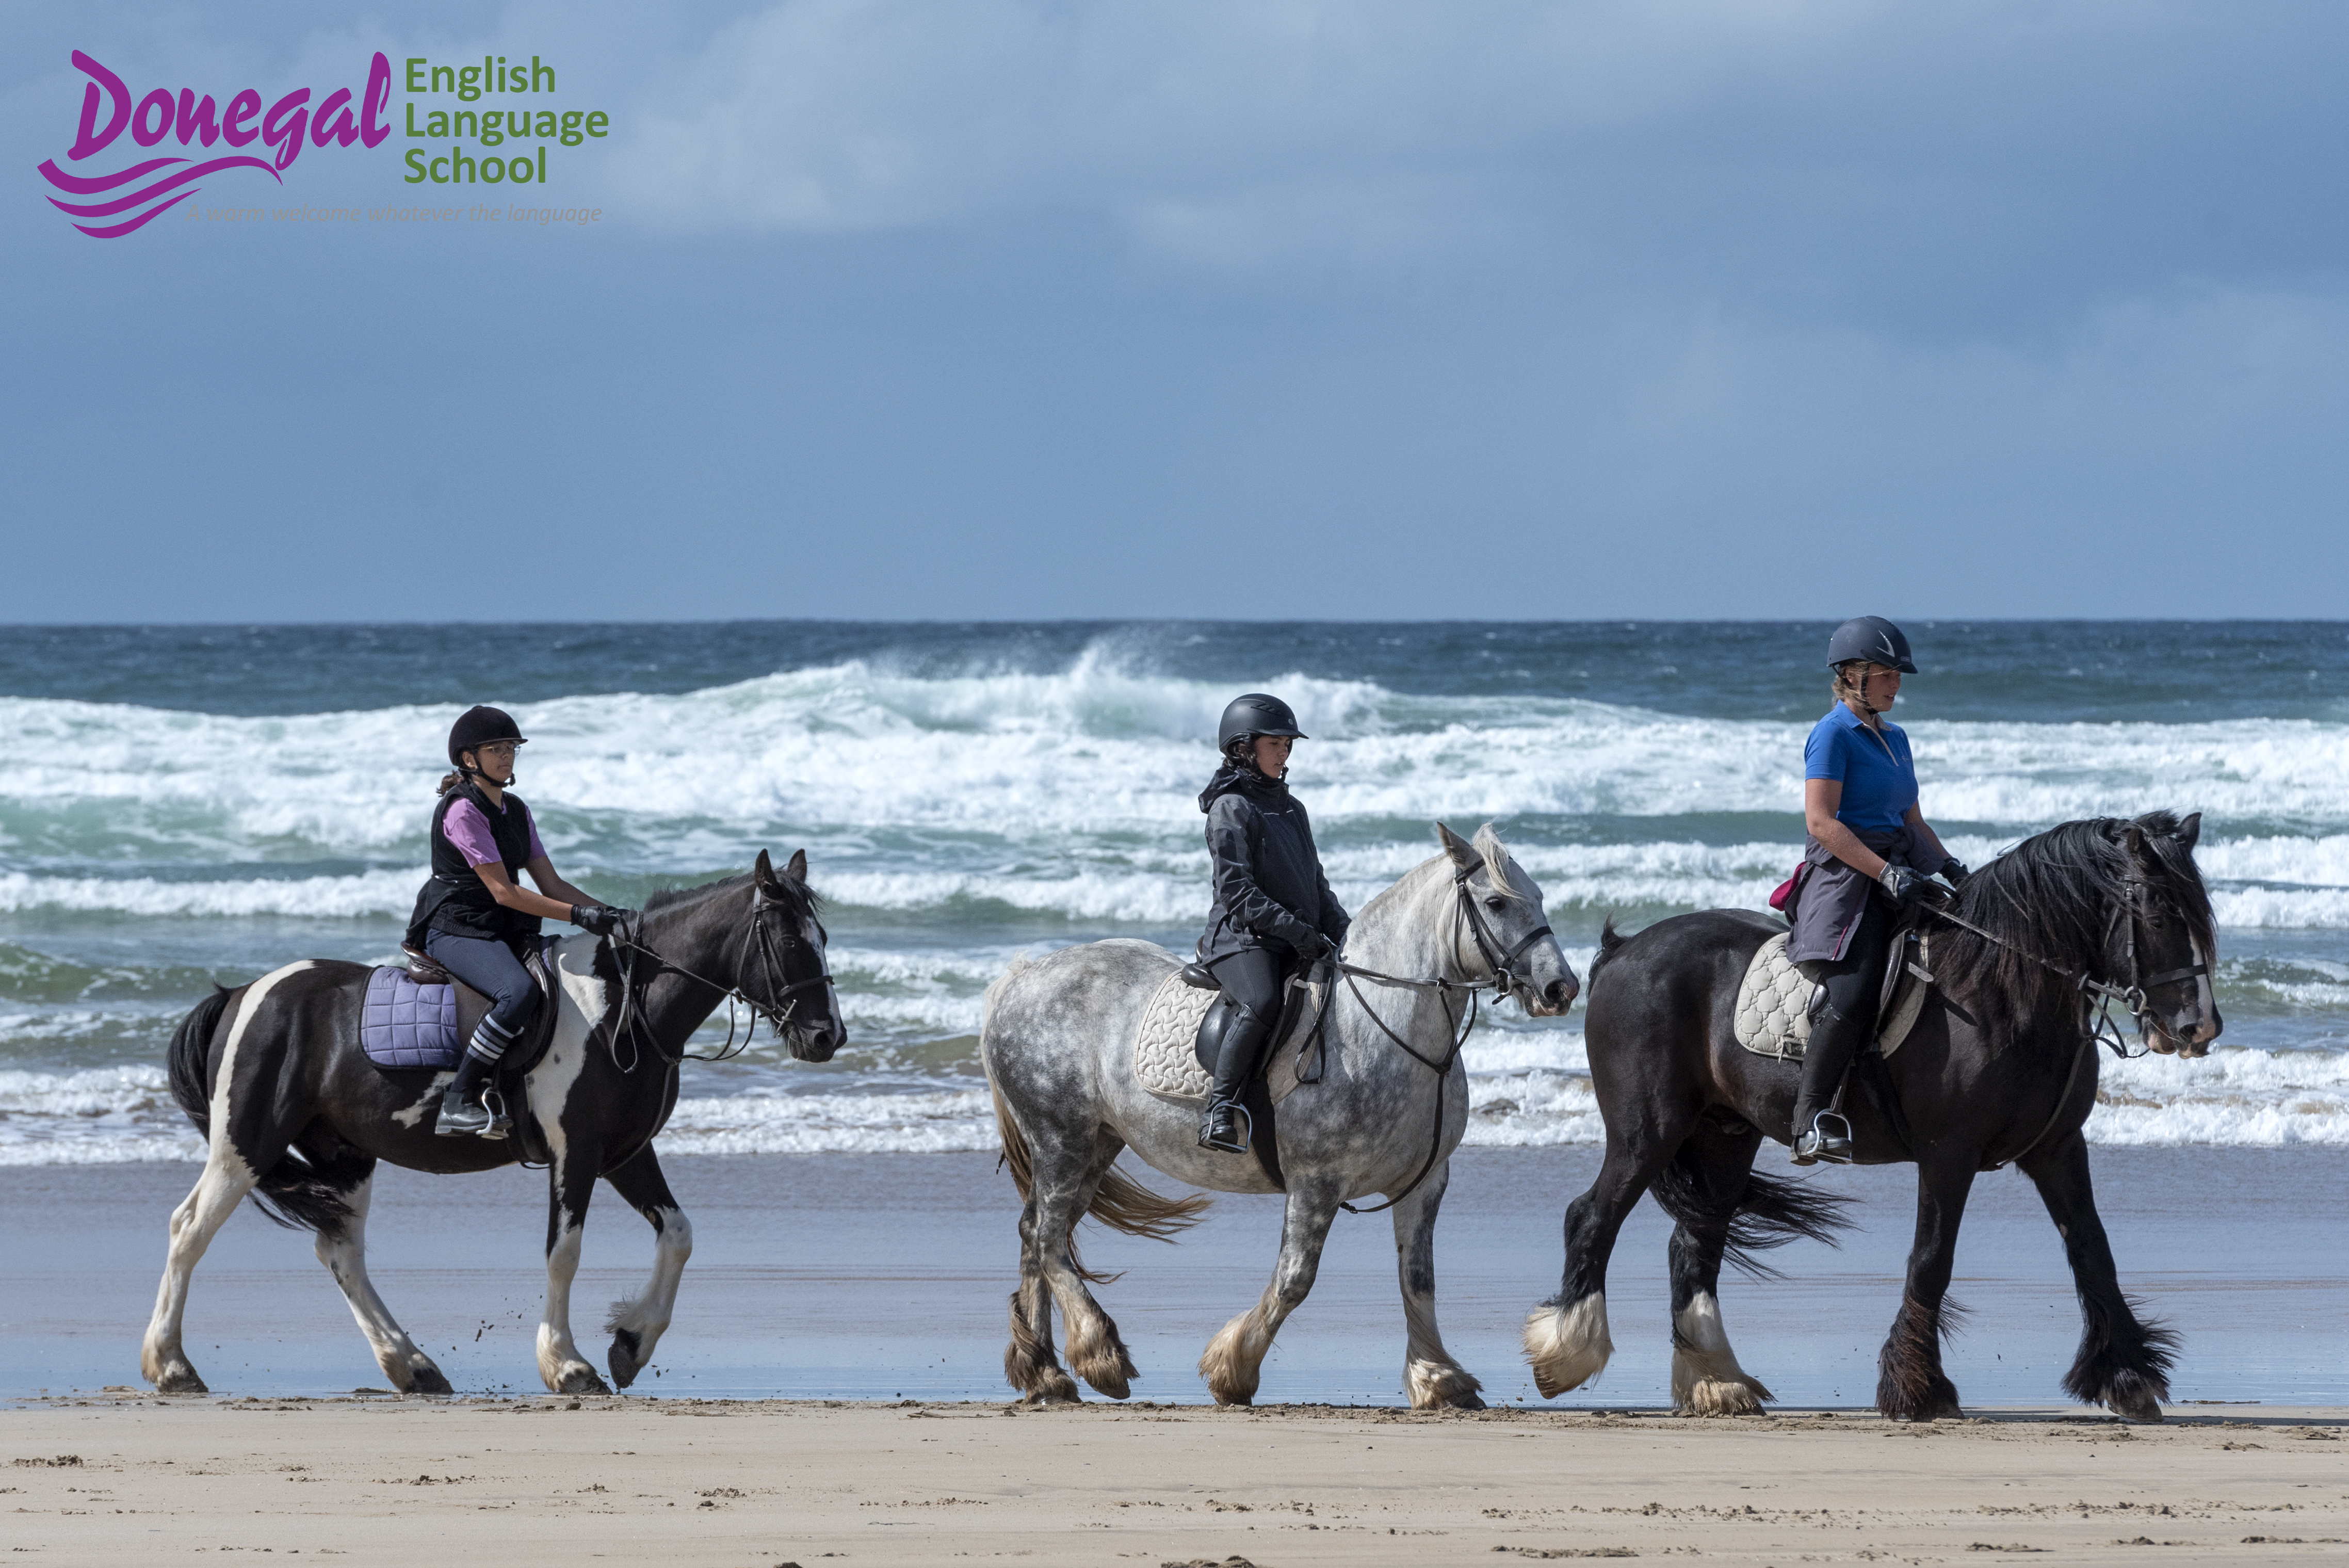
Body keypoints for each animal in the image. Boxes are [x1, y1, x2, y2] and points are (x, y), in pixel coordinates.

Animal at [144, 849, 841, 1398]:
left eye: (824, 939)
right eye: (788, 942)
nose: (826, 1036)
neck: (621, 1004)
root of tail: (240, 995)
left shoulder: (622, 1152)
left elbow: (678, 1235)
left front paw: (631, 1343)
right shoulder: (576, 1152)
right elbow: (564, 1253)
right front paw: (568, 1365)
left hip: (345, 1155)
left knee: (340, 1250)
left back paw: (413, 1366)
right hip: (248, 1142)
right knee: (189, 1228)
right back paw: (171, 1365)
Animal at [982, 822, 1579, 1409]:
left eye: (1538, 897)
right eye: (1496, 902)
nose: (1561, 988)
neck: (1387, 1028)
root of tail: (1021, 978)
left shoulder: (1425, 1181)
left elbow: (1417, 1279)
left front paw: (1439, 1377)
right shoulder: (1315, 1182)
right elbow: (1295, 1279)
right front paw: (1232, 1370)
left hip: (1097, 1145)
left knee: (1036, 1233)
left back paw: (1044, 1373)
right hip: (1062, 1139)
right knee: (1048, 1238)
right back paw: (1099, 1355)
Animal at [1522, 811, 2221, 1423]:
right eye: (2156, 910)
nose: (2200, 1028)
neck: (1999, 989)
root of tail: (1621, 952)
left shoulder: (2056, 1149)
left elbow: (2091, 1251)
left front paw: (2127, 1378)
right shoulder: (1947, 1153)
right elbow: (1931, 1259)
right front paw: (1919, 1390)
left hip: (1724, 1135)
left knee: (1693, 1243)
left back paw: (1717, 1383)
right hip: (1649, 1129)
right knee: (1593, 1217)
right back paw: (1568, 1353)